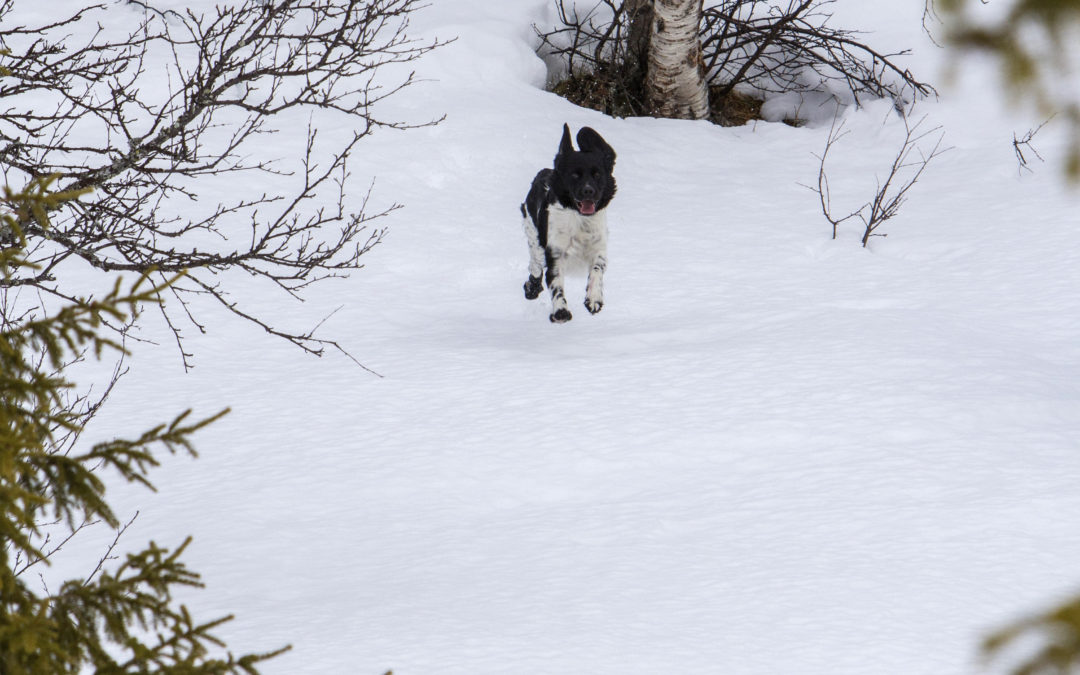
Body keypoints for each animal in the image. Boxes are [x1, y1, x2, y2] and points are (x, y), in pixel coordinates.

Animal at [520, 124, 617, 324]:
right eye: (574, 175)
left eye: (598, 174)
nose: (588, 191)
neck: (580, 220)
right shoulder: (556, 254)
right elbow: (556, 283)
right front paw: (560, 311)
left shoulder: (599, 249)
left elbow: (597, 269)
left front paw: (593, 299)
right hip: (533, 237)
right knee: (535, 267)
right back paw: (532, 288)